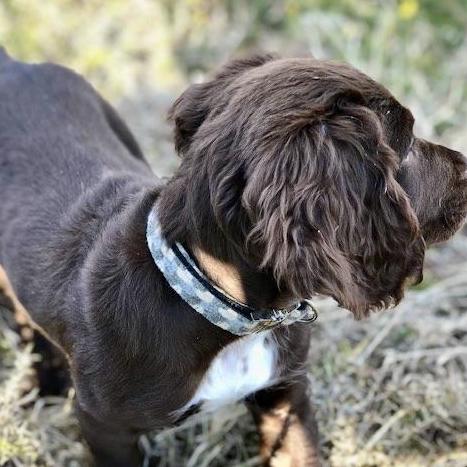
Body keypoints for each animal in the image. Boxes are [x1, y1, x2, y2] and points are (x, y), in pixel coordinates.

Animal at [0, 49, 467, 466]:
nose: (465, 166)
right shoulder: (104, 427)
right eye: (405, 147)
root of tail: (14, 64)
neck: (224, 312)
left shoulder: (285, 394)